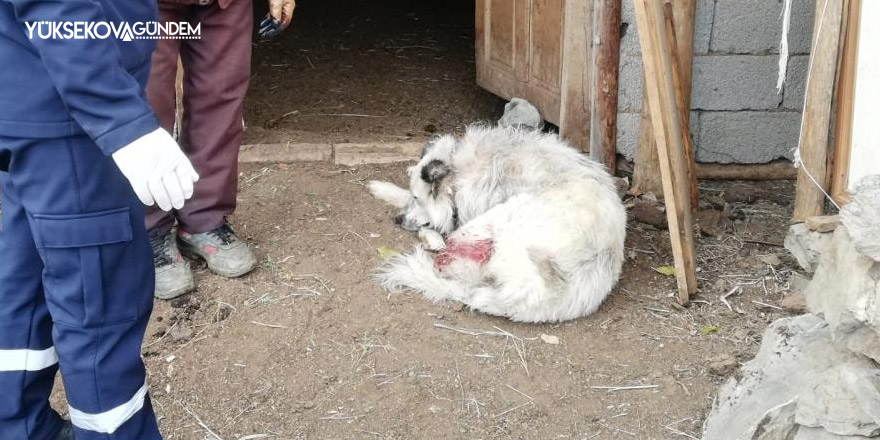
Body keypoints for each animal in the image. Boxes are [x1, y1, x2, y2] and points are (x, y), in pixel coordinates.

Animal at [368, 124, 628, 324]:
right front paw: (382, 188)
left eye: (417, 198)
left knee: (446, 252)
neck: (461, 173)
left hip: (497, 218)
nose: (398, 219)